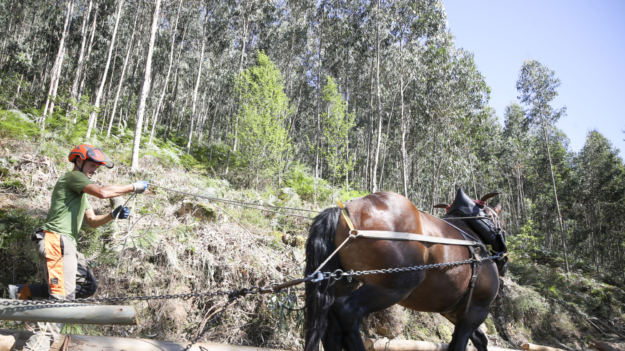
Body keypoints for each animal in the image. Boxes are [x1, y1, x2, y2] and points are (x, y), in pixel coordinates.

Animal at [304, 192, 504, 351]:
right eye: (498, 220)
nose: (504, 258)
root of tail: (344, 212)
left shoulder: (454, 312)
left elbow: (479, 339)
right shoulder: (476, 310)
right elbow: (460, 345)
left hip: (344, 284)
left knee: (332, 328)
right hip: (394, 286)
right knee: (347, 310)